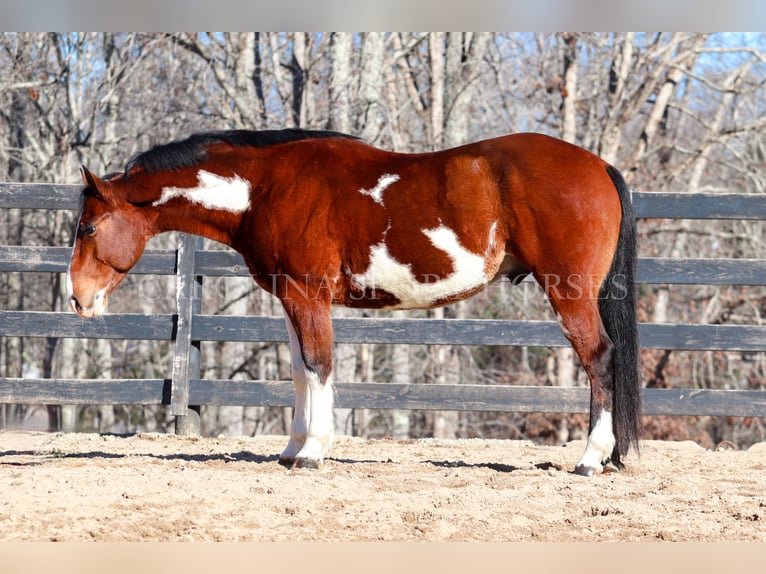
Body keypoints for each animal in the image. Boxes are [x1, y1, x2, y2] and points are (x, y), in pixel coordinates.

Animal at [67, 129, 640, 476]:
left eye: (87, 227)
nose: (77, 299)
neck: (263, 188)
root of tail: (598, 165)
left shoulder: (308, 294)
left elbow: (320, 364)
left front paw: (313, 452)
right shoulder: (290, 297)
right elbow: (300, 371)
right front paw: (291, 448)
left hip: (569, 292)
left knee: (598, 358)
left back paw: (591, 458)